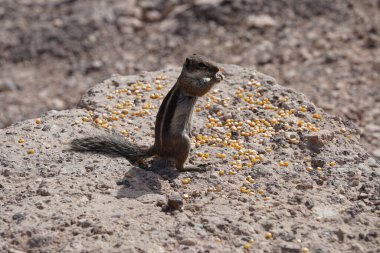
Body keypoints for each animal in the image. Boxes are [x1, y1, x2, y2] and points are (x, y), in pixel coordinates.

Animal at [71, 54, 224, 171]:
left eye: (208, 58)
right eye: (201, 65)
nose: (217, 68)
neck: (189, 76)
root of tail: (158, 149)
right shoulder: (188, 86)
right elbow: (201, 91)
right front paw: (215, 78)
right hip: (183, 141)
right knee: (179, 167)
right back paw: (196, 167)